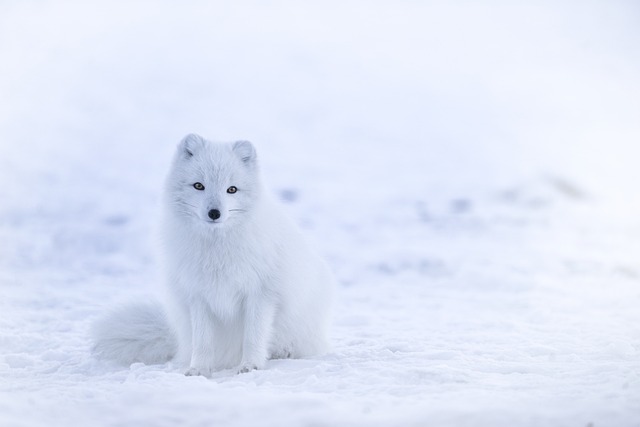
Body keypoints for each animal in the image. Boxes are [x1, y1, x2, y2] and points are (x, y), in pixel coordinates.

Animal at [95, 135, 336, 376]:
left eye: (232, 189)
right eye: (199, 185)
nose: (214, 213)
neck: (217, 249)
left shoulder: (261, 294)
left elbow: (253, 336)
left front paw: (250, 365)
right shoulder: (198, 296)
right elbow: (203, 341)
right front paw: (199, 369)